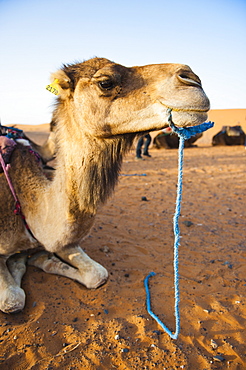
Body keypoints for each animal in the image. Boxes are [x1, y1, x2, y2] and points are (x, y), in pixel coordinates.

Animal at [0, 57, 209, 312]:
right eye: (105, 82)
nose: (192, 79)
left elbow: (98, 274)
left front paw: (38, 258)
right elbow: (12, 300)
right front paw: (22, 262)